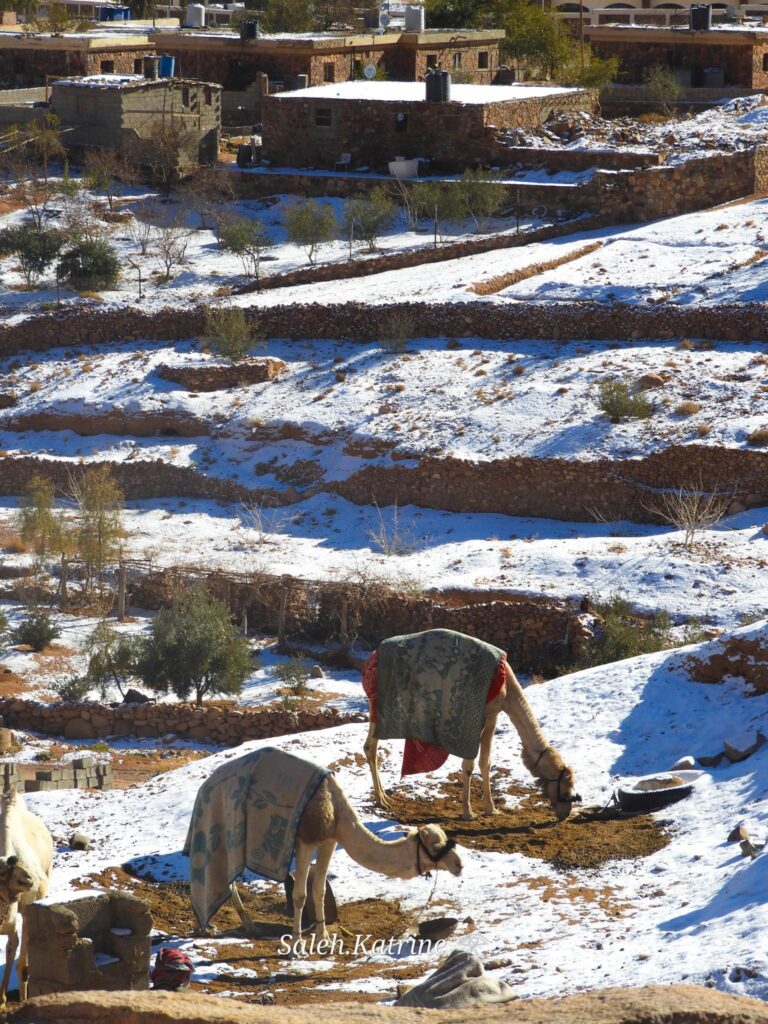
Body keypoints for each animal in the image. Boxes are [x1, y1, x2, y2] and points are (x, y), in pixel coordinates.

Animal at [224, 770, 462, 946]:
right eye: (436, 845)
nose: (459, 865)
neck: (337, 812)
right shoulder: (305, 841)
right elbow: (300, 894)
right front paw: (295, 946)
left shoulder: (330, 841)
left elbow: (319, 889)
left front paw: (324, 940)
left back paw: (249, 926)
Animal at [364, 638, 581, 823]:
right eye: (566, 786)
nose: (565, 813)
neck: (507, 689)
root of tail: (371, 658)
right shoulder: (479, 717)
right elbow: (470, 764)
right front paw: (469, 813)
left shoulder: (493, 715)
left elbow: (486, 762)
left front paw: (491, 808)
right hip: (379, 704)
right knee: (369, 746)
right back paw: (381, 800)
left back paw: (384, 797)